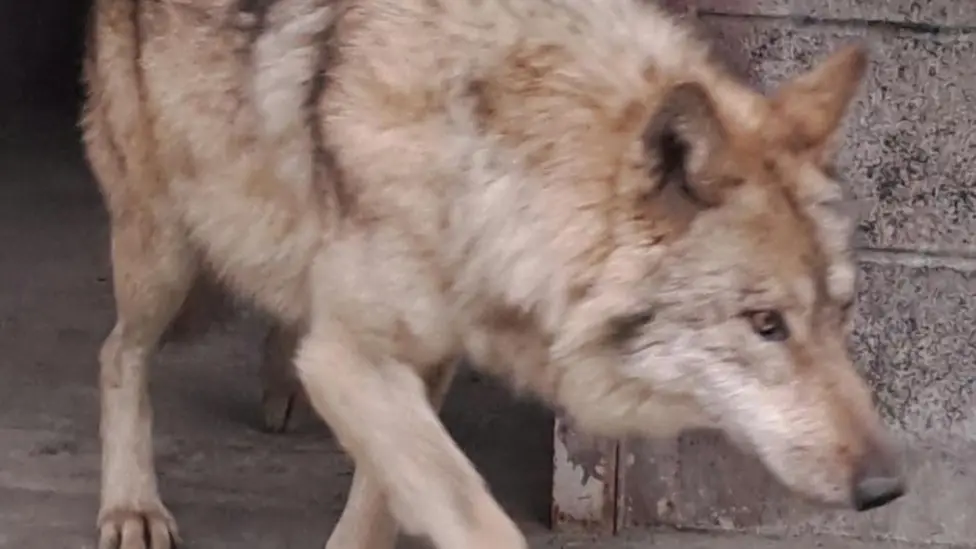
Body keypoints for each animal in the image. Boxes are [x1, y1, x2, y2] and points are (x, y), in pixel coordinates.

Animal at [81, 0, 905, 547]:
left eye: (842, 314)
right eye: (765, 325)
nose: (885, 487)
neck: (488, 159)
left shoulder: (420, 360)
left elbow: (382, 500)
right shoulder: (355, 359)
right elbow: (467, 509)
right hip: (164, 247)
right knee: (119, 354)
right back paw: (130, 508)